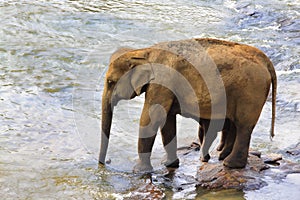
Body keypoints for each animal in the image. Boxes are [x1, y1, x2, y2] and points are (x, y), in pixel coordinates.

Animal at [99, 38, 278, 173]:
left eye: (110, 82)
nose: (104, 163)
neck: (143, 52)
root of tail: (266, 60)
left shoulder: (162, 82)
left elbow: (151, 118)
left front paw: (139, 170)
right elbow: (167, 121)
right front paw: (169, 164)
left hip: (250, 92)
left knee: (243, 126)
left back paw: (230, 164)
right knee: (236, 125)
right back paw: (222, 157)